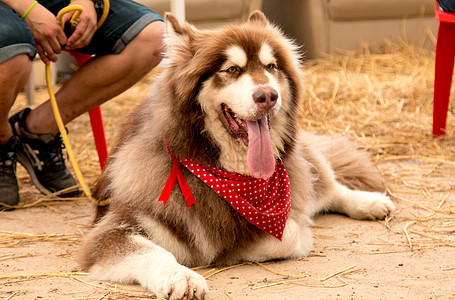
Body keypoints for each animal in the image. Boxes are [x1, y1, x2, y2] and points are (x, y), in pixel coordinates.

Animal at [78, 11, 396, 300]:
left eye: (271, 66)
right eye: (231, 70)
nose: (268, 96)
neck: (228, 173)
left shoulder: (284, 219)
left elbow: (287, 233)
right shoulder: (115, 230)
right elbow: (155, 253)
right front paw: (181, 276)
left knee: (328, 188)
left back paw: (369, 203)